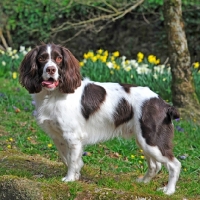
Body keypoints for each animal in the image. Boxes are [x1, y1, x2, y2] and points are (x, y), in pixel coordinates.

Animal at [19, 43, 181, 195]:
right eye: (42, 58)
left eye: (58, 58)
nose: (51, 70)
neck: (53, 94)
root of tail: (164, 104)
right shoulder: (58, 137)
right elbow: (67, 158)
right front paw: (76, 175)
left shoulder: (73, 136)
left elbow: (71, 160)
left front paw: (69, 179)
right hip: (144, 140)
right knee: (155, 165)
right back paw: (143, 182)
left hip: (151, 140)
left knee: (175, 164)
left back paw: (169, 190)